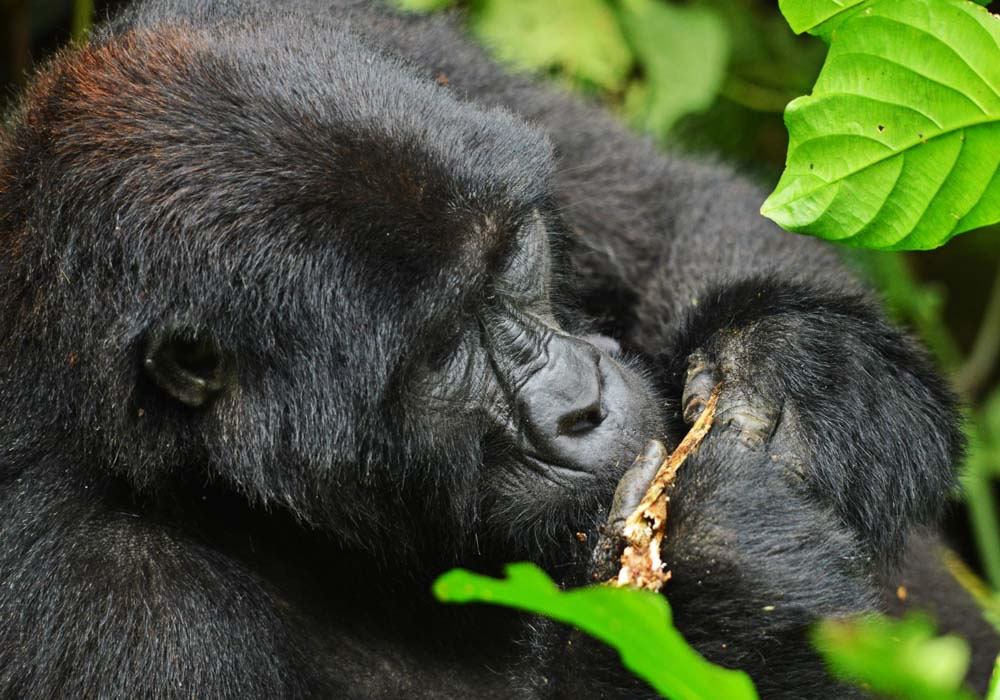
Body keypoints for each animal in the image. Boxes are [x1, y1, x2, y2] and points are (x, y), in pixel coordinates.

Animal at [0, 0, 972, 696]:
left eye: (515, 257)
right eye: (440, 354)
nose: (585, 401)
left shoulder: (382, 43)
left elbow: (682, 211)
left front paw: (810, 376)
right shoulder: (102, 602)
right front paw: (718, 586)